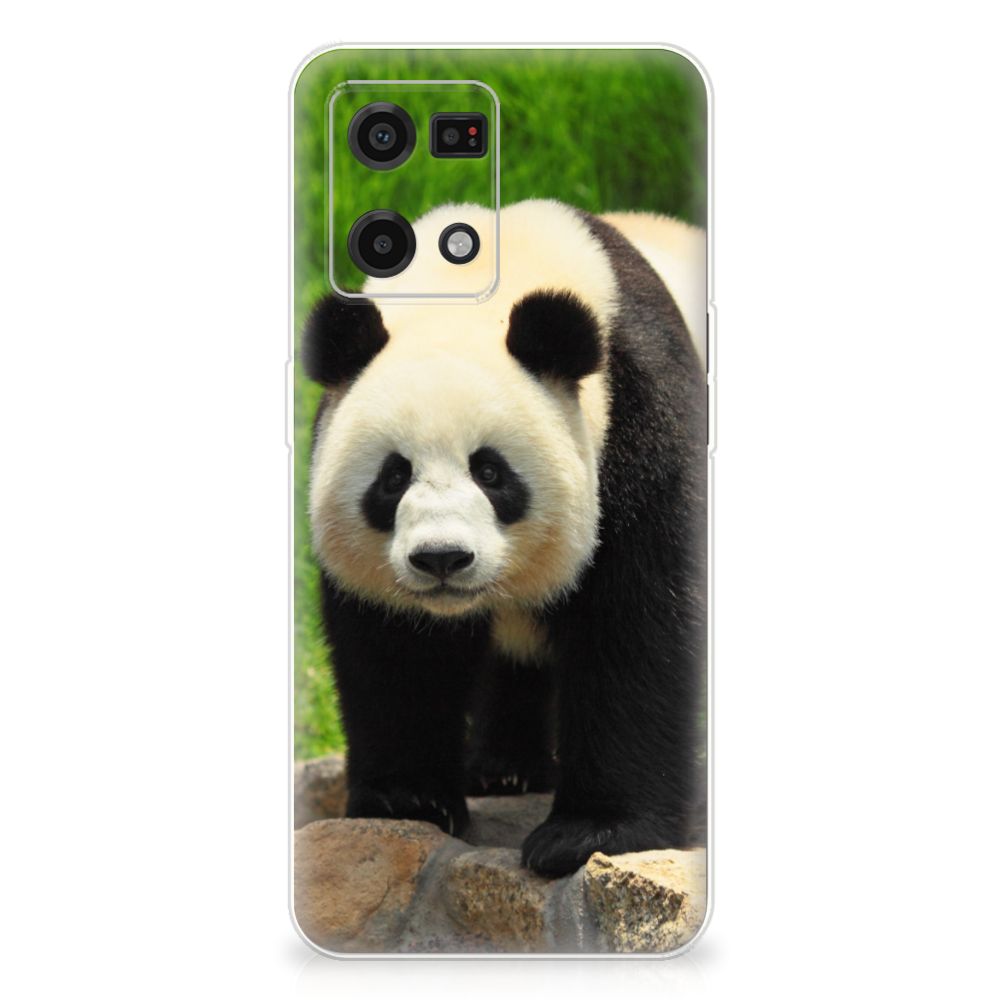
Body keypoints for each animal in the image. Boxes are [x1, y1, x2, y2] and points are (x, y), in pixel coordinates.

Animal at [303, 199, 707, 877]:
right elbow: (395, 649)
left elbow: (637, 623)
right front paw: (408, 800)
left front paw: (589, 832)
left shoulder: (640, 420)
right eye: (393, 476)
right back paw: (503, 769)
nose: (442, 558)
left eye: (490, 472)